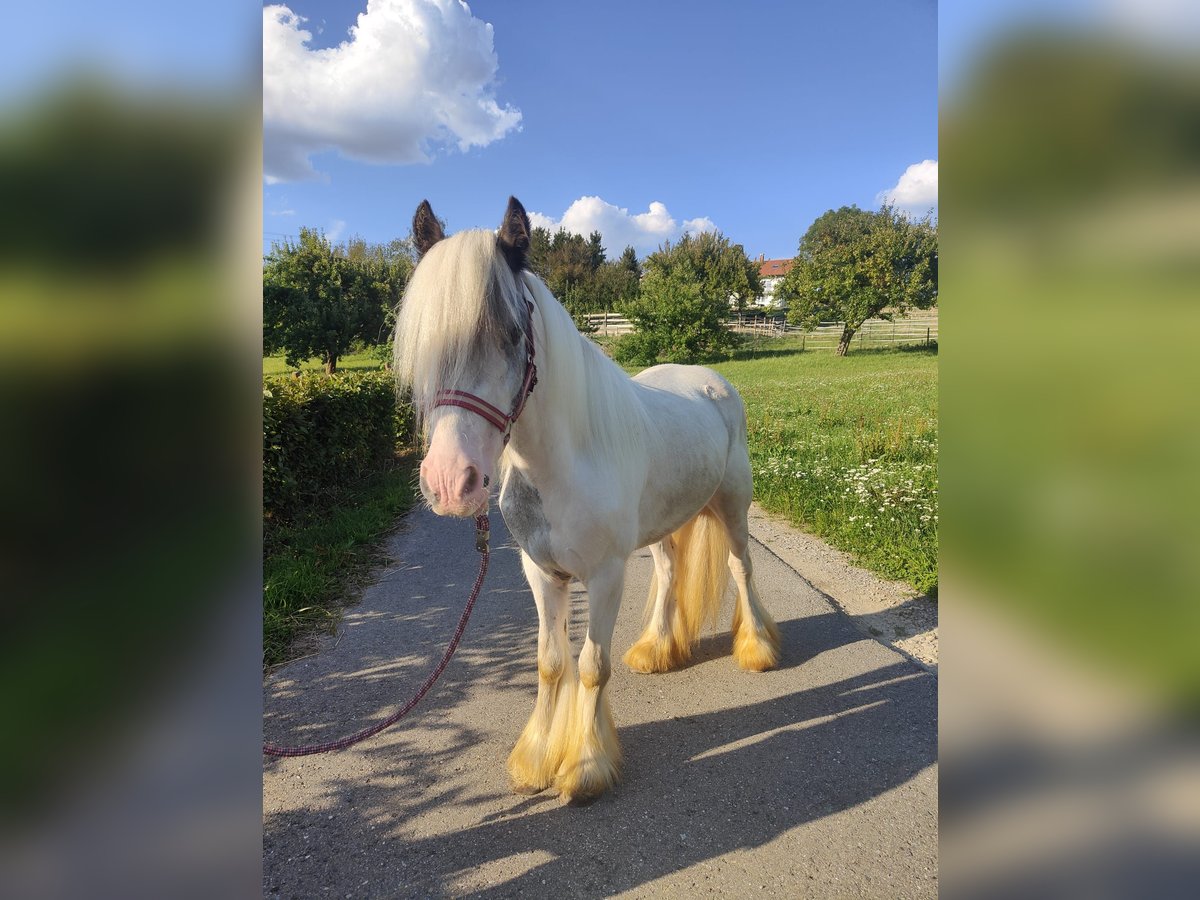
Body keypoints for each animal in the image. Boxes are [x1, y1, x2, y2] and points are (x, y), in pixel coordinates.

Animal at [393, 196, 782, 801]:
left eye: (512, 334)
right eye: (423, 343)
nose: (451, 482)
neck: (562, 465)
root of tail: (712, 381)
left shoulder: (604, 575)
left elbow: (592, 666)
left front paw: (586, 766)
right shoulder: (541, 573)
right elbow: (552, 662)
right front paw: (535, 759)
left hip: (733, 506)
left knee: (742, 568)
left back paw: (757, 649)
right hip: (663, 524)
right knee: (669, 572)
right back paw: (655, 650)